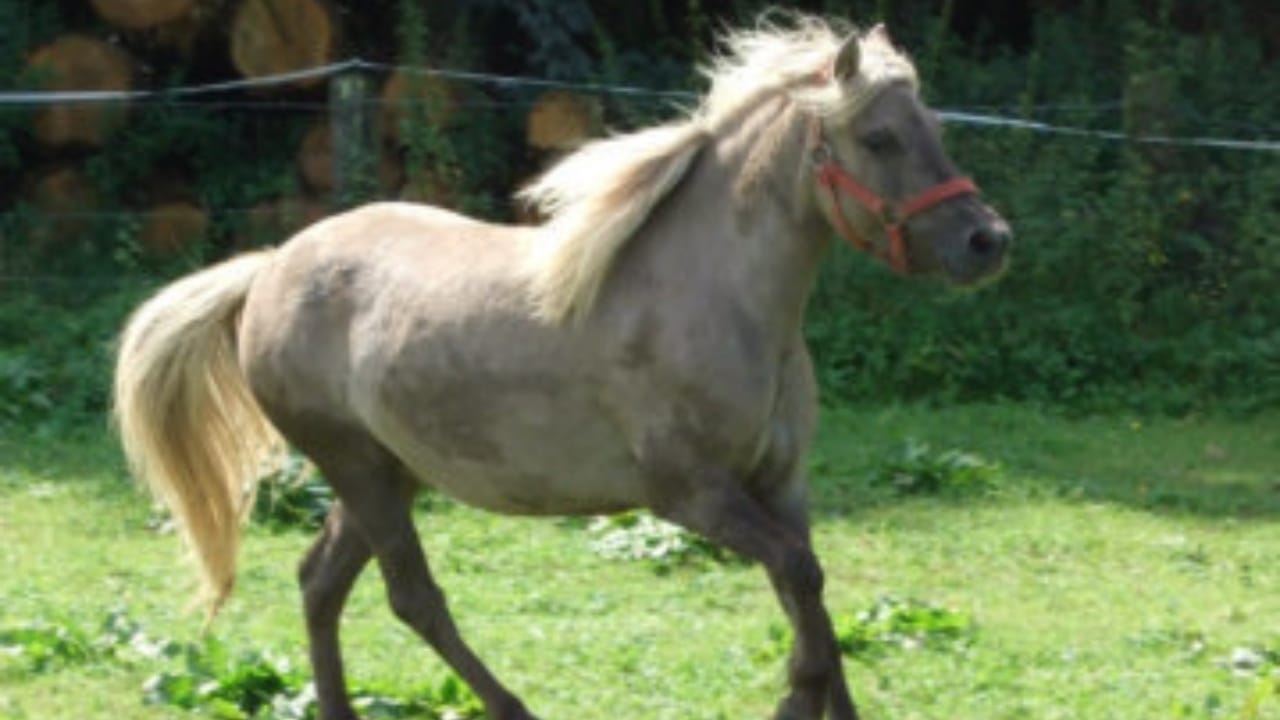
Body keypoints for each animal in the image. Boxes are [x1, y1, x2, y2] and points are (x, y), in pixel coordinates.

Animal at [113, 16, 1009, 720]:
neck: (715, 299)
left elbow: (810, 599)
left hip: (390, 473)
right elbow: (801, 582)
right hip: (358, 466)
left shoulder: (782, 484)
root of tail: (269, 268)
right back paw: (513, 709)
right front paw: (794, 700)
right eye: (880, 138)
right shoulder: (691, 494)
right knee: (412, 597)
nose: (986, 241)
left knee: (320, 582)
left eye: (935, 126)